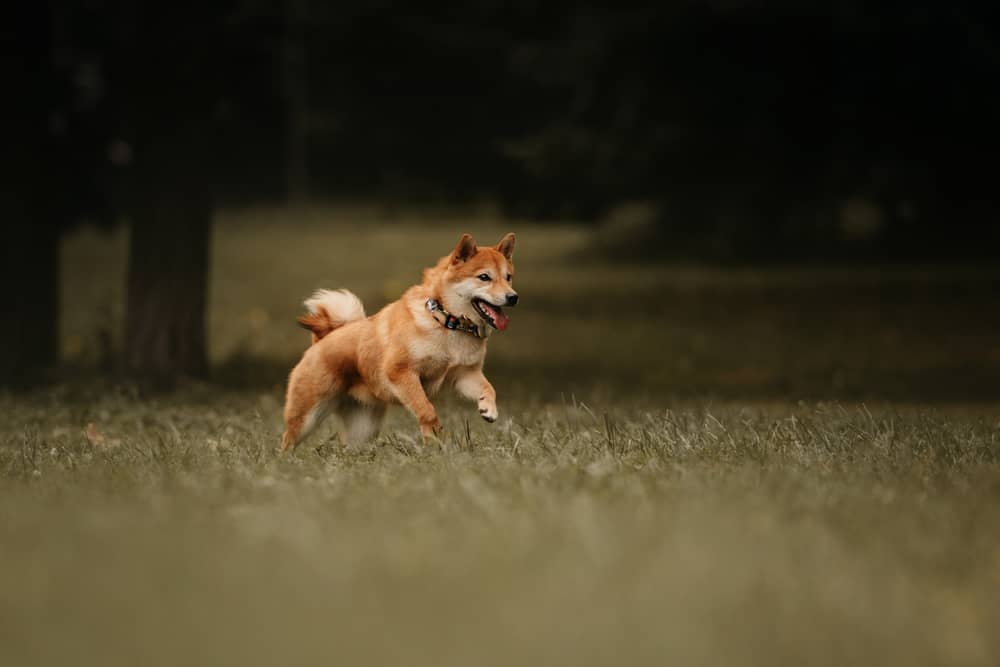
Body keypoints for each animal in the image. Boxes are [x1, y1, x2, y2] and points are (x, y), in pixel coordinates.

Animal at [280, 232, 516, 452]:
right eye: (484, 277)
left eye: (508, 277)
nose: (513, 297)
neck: (446, 322)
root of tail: (322, 340)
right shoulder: (401, 372)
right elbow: (426, 409)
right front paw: (434, 439)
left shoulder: (464, 374)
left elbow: (488, 388)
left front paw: (488, 409)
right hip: (306, 416)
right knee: (287, 439)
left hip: (363, 428)